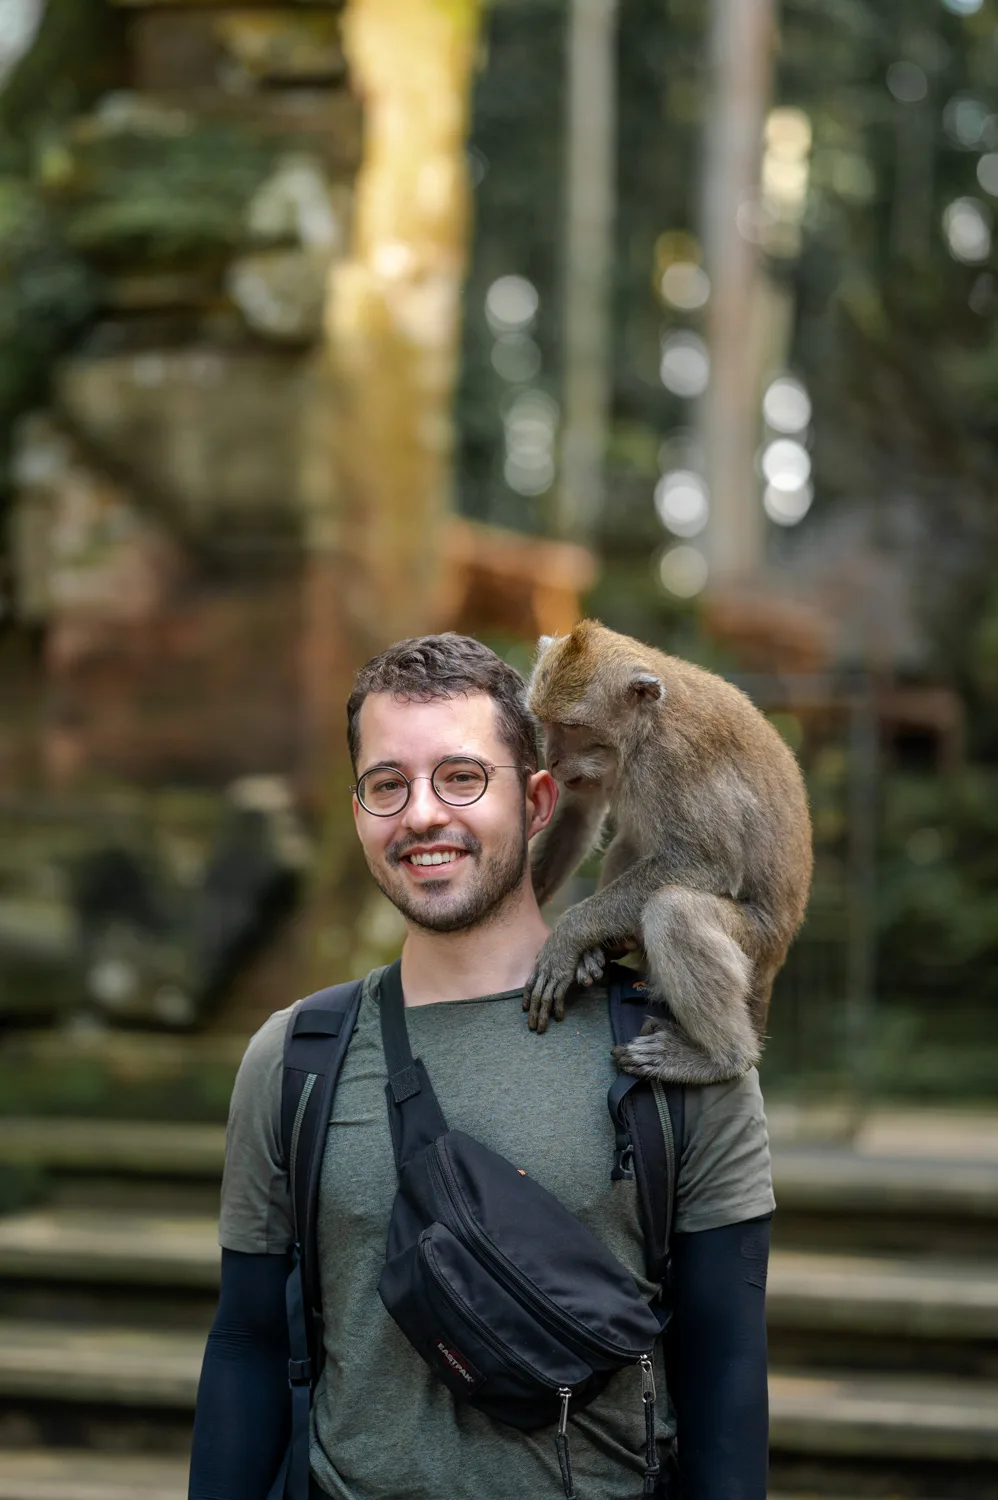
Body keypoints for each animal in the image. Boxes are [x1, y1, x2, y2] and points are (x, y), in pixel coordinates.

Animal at [523, 619, 813, 1085]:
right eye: (546, 723)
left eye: (573, 726)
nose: (553, 758)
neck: (643, 731)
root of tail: (778, 956)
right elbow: (576, 817)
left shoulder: (673, 758)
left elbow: (707, 862)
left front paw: (568, 935)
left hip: (757, 944)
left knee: (674, 910)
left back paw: (721, 1058)